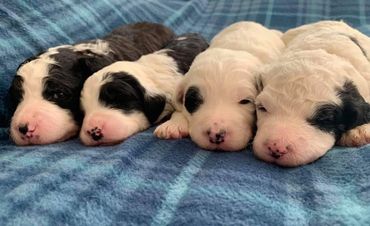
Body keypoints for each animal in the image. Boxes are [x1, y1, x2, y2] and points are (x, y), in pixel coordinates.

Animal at [155, 21, 284, 152]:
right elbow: (179, 109)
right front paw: (173, 125)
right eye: (194, 101)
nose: (215, 134)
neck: (234, 49)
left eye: (245, 101)